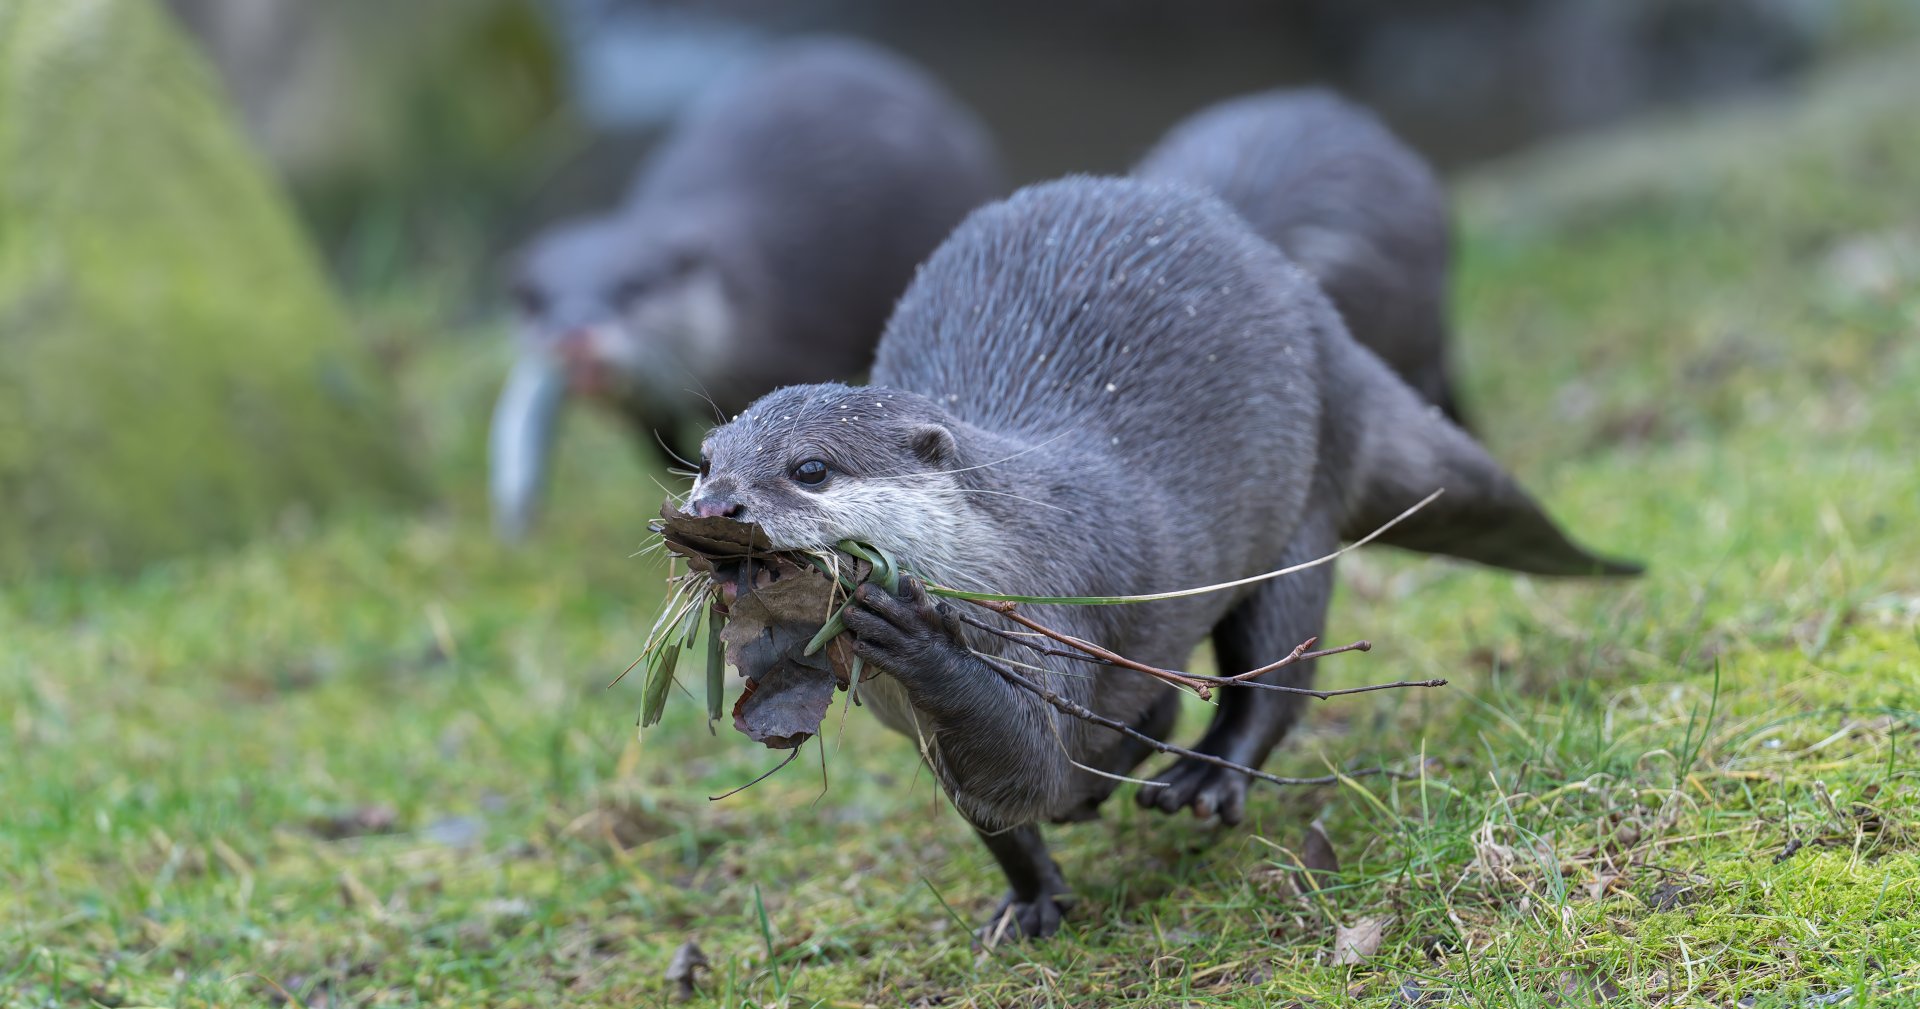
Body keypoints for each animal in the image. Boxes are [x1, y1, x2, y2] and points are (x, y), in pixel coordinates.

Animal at [685, 177, 1635, 939]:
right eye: (705, 459)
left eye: (810, 469)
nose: (714, 507)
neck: (1007, 540)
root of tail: (1324, 326)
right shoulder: (917, 734)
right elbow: (998, 815)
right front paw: (1029, 899)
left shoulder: (1060, 591)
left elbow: (1029, 761)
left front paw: (915, 631)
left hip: (1300, 508)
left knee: (1274, 672)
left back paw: (1203, 779)